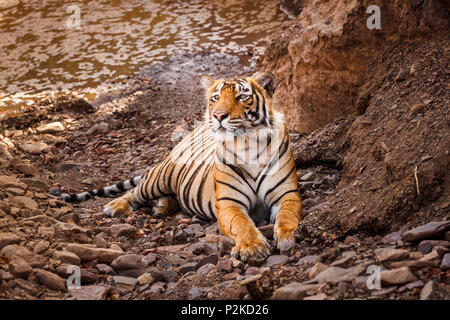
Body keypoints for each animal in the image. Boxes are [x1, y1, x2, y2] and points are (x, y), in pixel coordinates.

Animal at [54, 72, 304, 260]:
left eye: (242, 96)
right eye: (215, 97)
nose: (218, 115)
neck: (247, 144)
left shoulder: (287, 194)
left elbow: (288, 217)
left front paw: (289, 236)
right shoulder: (229, 203)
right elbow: (242, 224)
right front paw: (252, 248)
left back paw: (161, 207)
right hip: (160, 176)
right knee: (135, 191)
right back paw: (116, 206)